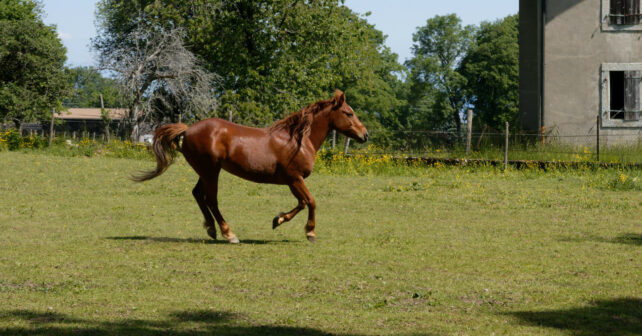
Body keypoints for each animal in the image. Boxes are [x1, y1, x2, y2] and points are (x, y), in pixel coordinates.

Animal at [132, 89, 368, 243]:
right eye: (349, 113)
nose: (365, 135)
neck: (299, 141)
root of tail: (187, 130)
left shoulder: (291, 181)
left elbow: (301, 203)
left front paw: (278, 220)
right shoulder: (295, 178)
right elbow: (311, 201)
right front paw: (310, 232)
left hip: (205, 171)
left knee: (198, 194)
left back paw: (211, 229)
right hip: (211, 171)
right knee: (211, 199)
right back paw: (229, 234)